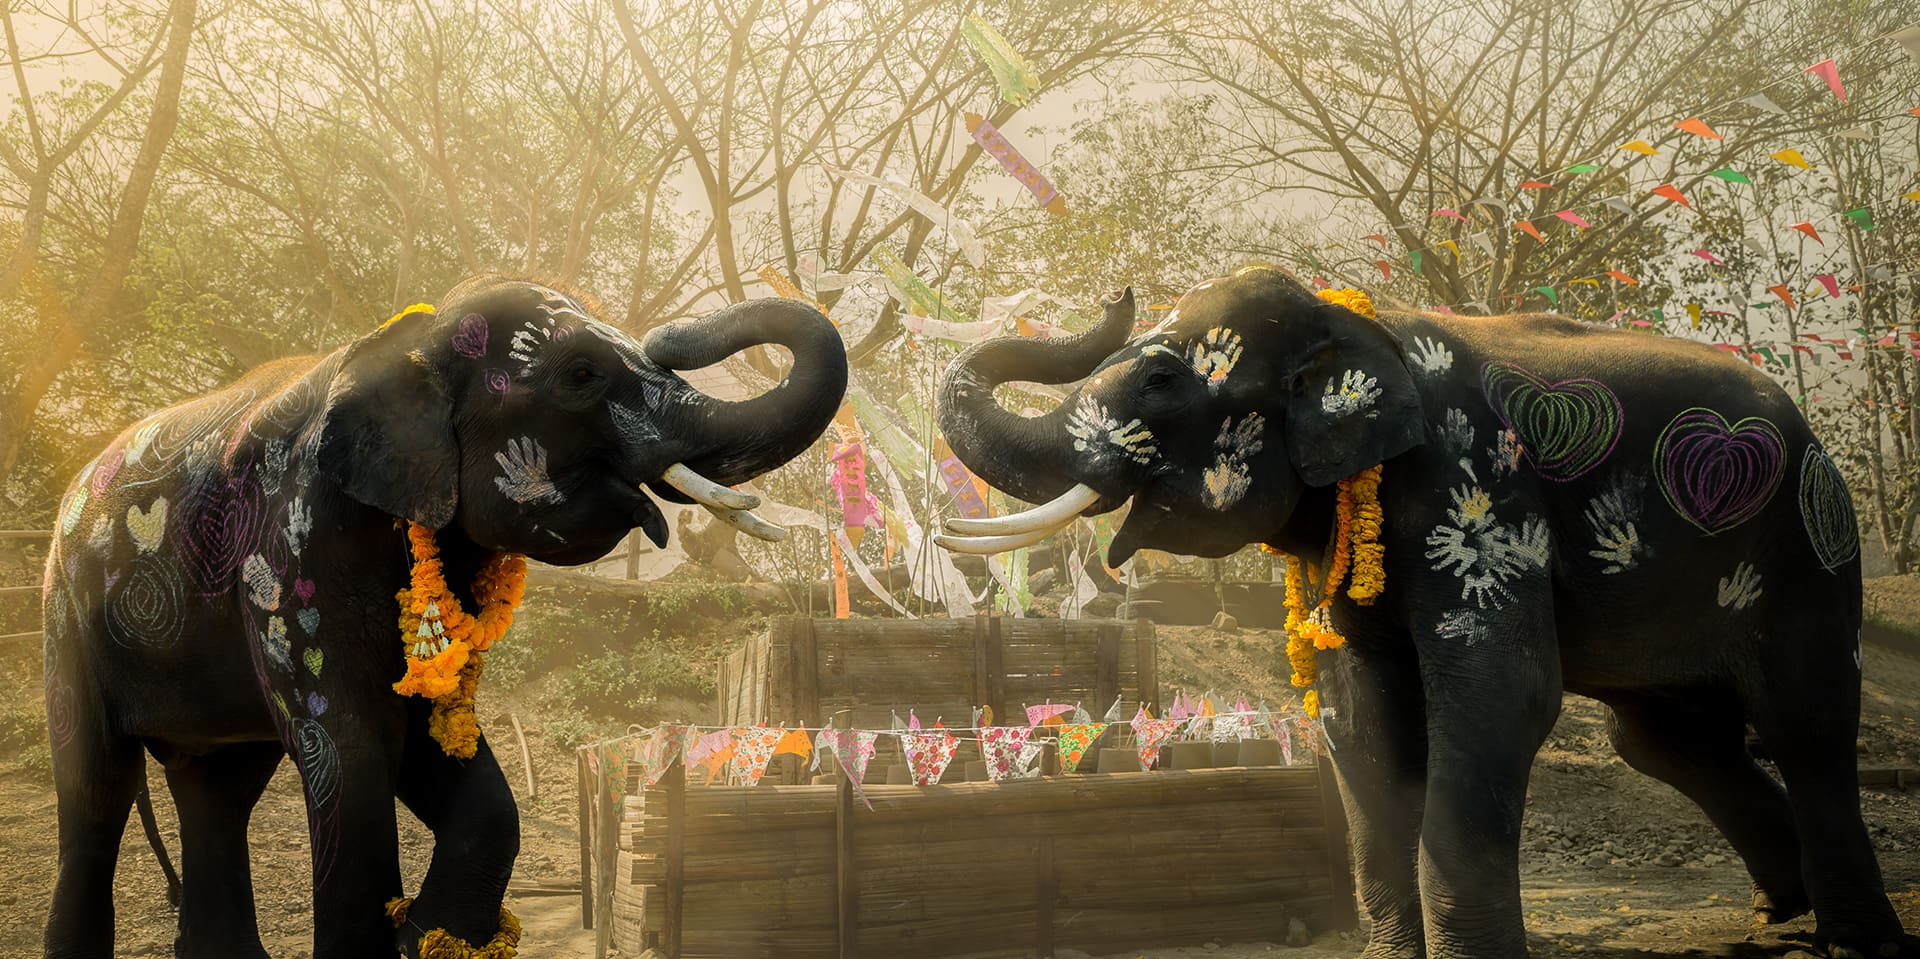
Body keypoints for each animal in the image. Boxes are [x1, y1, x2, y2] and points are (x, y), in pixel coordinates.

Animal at [37, 274, 844, 957]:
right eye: (580, 374)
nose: (670, 335)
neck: (403, 340)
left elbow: (434, 736)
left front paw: (425, 932)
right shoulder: (286, 550)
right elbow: (348, 746)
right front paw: (403, 935)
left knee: (218, 790)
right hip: (65, 619)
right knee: (96, 791)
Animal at [929, 265, 1904, 959]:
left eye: (1164, 377)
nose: (1115, 296)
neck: (1361, 322)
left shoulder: (1478, 493)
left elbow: (1501, 692)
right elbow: (1359, 713)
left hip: (1812, 550)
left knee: (1805, 722)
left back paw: (1856, 941)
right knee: (1669, 741)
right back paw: (1779, 912)